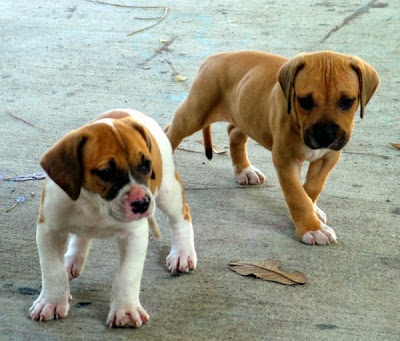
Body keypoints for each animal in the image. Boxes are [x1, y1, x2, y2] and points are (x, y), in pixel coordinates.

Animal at [28, 109, 197, 326]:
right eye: (107, 172)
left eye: (146, 164)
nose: (142, 204)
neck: (94, 204)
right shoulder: (50, 230)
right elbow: (52, 270)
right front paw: (51, 301)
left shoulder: (134, 236)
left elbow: (127, 275)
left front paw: (126, 309)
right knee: (81, 236)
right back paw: (72, 259)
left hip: (168, 191)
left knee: (181, 217)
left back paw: (182, 253)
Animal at [164, 50, 380, 244]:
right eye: (305, 101)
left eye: (347, 101)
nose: (325, 136)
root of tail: (215, 57)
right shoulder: (286, 160)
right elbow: (297, 195)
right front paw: (311, 228)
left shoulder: (328, 157)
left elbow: (312, 187)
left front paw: (312, 211)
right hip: (195, 113)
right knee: (170, 131)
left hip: (246, 115)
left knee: (234, 133)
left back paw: (245, 170)